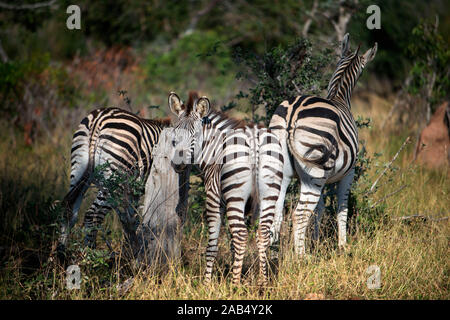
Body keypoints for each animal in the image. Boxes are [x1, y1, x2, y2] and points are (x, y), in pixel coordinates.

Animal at [59, 107, 171, 255]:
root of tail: (98, 120)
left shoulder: (132, 190)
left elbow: (129, 219)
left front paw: (131, 250)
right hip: (113, 179)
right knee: (93, 215)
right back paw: (90, 255)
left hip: (78, 169)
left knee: (69, 209)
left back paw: (60, 254)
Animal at [167, 90, 284, 284]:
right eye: (175, 135)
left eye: (195, 136)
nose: (178, 164)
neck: (213, 148)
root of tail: (254, 139)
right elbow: (232, 245)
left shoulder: (214, 199)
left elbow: (212, 245)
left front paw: (206, 283)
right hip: (269, 193)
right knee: (262, 234)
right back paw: (263, 283)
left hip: (235, 195)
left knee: (241, 236)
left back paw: (234, 284)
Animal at [268, 33, 378, 255]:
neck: (339, 96)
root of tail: (292, 112)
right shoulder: (348, 172)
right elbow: (342, 208)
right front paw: (343, 246)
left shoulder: (323, 178)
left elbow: (318, 210)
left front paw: (316, 242)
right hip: (315, 170)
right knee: (299, 215)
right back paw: (301, 257)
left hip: (285, 168)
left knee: (275, 214)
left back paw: (272, 252)